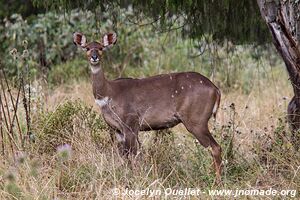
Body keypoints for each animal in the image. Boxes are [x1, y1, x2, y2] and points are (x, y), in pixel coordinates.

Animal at [73, 30, 223, 181]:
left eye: (101, 48)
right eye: (87, 48)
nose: (94, 57)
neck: (109, 94)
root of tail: (215, 89)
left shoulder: (131, 125)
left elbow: (133, 155)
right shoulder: (117, 130)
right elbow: (125, 156)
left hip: (196, 122)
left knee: (216, 147)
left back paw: (217, 181)